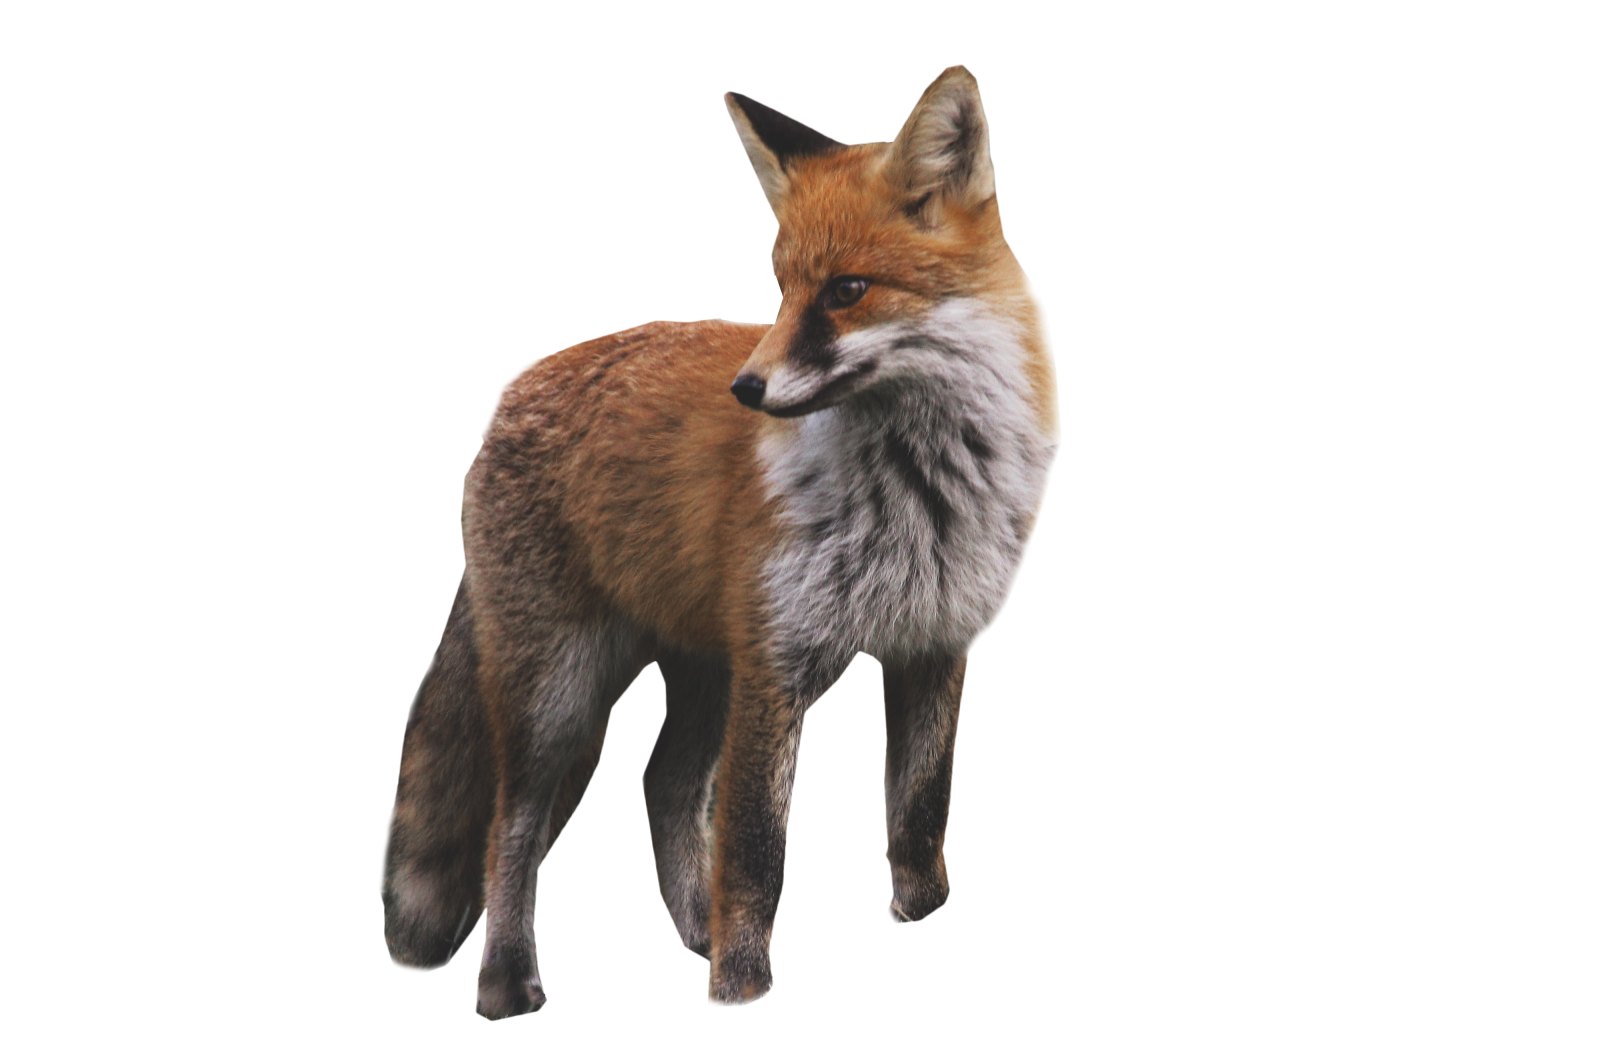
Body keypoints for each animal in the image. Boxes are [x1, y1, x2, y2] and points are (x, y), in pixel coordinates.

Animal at [377, 65, 1060, 1018]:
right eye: (780, 289)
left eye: (846, 291)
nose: (747, 389)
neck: (919, 494)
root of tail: (512, 385)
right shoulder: (777, 669)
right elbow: (756, 857)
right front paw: (739, 989)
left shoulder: (935, 645)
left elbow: (919, 819)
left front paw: (914, 919)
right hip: (560, 692)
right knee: (510, 827)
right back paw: (508, 984)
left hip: (705, 668)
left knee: (661, 783)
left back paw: (692, 933)